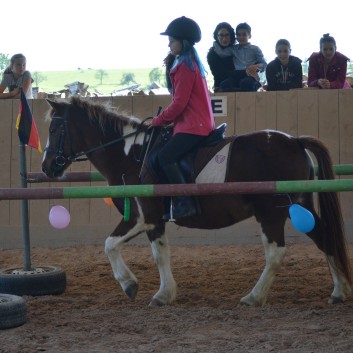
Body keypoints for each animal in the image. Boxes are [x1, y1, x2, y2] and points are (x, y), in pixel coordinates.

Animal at [42, 96, 352, 306]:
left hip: (272, 212)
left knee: (276, 254)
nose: (47, 167)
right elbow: (159, 253)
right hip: (300, 207)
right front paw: (164, 293)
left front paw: (131, 285)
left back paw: (254, 297)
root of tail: (295, 141)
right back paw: (339, 291)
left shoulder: (143, 216)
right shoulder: (153, 221)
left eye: (54, 130)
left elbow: (111, 245)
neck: (132, 154)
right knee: (325, 239)